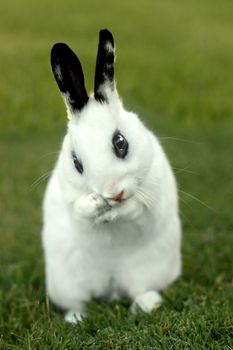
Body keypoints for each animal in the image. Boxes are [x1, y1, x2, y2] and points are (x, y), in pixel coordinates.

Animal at [41, 28, 182, 324]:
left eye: (121, 142)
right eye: (76, 162)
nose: (114, 193)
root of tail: (112, 286)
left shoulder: (151, 195)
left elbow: (137, 209)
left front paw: (115, 212)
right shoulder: (69, 196)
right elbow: (79, 212)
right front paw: (95, 206)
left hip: (150, 270)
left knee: (141, 290)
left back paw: (148, 305)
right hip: (69, 283)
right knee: (79, 302)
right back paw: (76, 319)